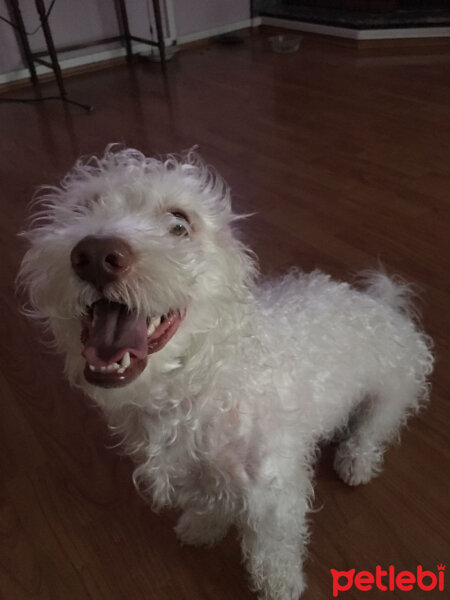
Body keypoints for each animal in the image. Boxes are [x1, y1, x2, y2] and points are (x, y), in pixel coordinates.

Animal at [17, 146, 432, 600]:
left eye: (180, 223)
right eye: (83, 208)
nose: (94, 255)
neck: (199, 381)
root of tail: (386, 304)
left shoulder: (272, 491)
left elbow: (273, 546)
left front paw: (280, 584)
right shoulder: (196, 471)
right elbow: (209, 503)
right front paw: (203, 528)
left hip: (392, 394)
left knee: (370, 433)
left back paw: (355, 462)